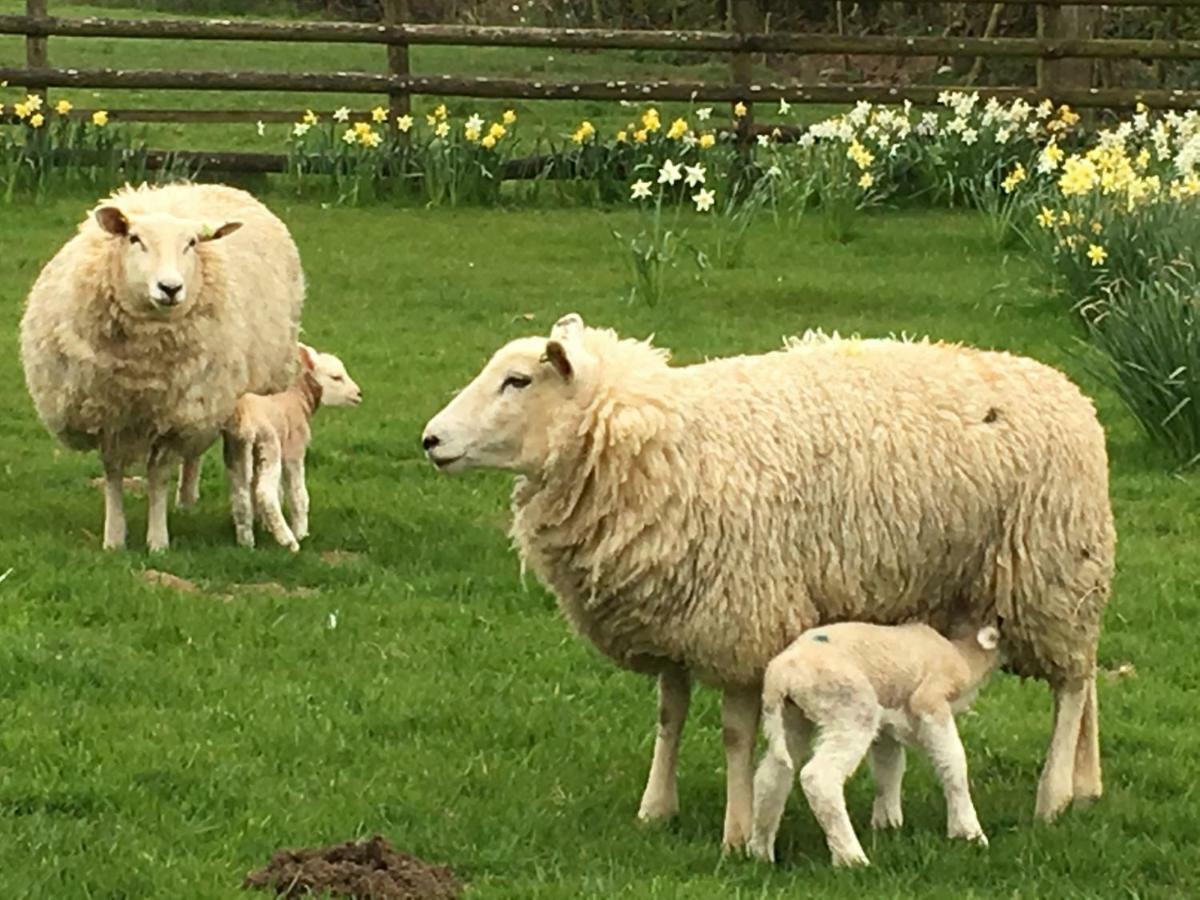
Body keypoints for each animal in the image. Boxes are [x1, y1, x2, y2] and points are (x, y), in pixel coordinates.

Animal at [18, 181, 304, 549]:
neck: (142, 373)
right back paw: (186, 501)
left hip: (229, 397)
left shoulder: (174, 419)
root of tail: (216, 185)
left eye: (191, 243)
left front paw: (157, 541)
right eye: (134, 239)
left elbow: (158, 476)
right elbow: (112, 473)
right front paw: (114, 538)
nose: (170, 288)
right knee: (194, 455)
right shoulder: (108, 415)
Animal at [222, 345, 360, 554]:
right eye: (336, 377)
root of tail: (244, 421)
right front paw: (301, 532)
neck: (298, 400)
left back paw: (246, 543)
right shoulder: (294, 449)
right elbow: (298, 493)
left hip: (236, 450)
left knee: (241, 494)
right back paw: (289, 541)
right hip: (269, 445)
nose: (359, 394)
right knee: (265, 492)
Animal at [748, 619, 1003, 868]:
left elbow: (890, 769)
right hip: (850, 708)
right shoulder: (930, 701)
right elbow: (953, 761)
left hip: (791, 719)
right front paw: (969, 833)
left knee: (772, 776)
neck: (964, 655)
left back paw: (761, 852)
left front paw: (887, 824)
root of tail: (780, 676)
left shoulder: (887, 728)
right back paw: (852, 859)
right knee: (819, 777)